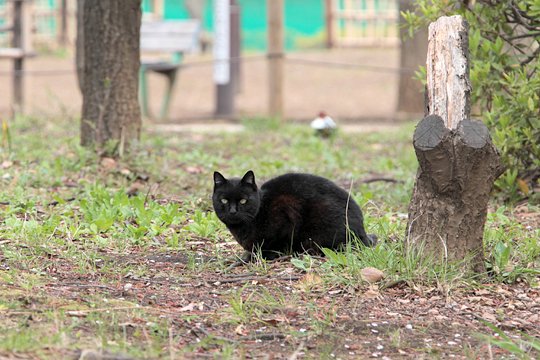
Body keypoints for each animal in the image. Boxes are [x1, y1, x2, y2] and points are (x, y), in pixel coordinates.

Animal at [211, 170, 376, 260]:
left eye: (243, 200)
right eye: (224, 200)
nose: (233, 211)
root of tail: (363, 232)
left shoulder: (286, 210)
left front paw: (253, 256)